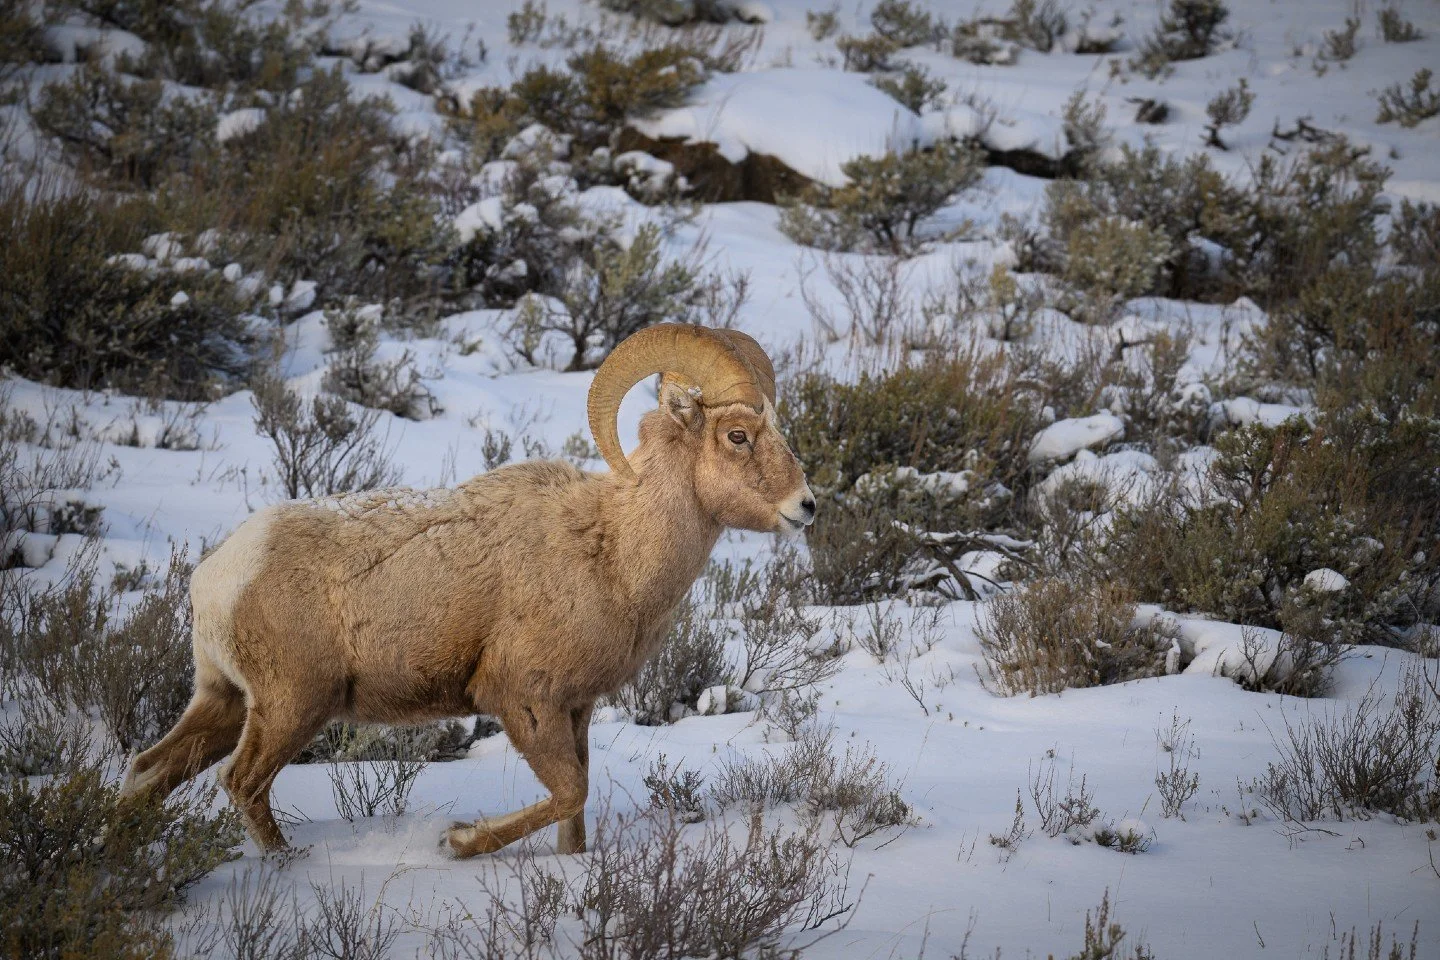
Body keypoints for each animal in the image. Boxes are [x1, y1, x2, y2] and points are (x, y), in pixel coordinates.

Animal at [119, 323, 815, 857]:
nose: (805, 507)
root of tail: (218, 576)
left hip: (225, 702)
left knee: (149, 772)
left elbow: (575, 814)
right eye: (737, 436)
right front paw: (458, 842)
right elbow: (570, 792)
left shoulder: (576, 709)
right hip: (292, 707)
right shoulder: (523, 699)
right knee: (242, 784)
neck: (613, 553)